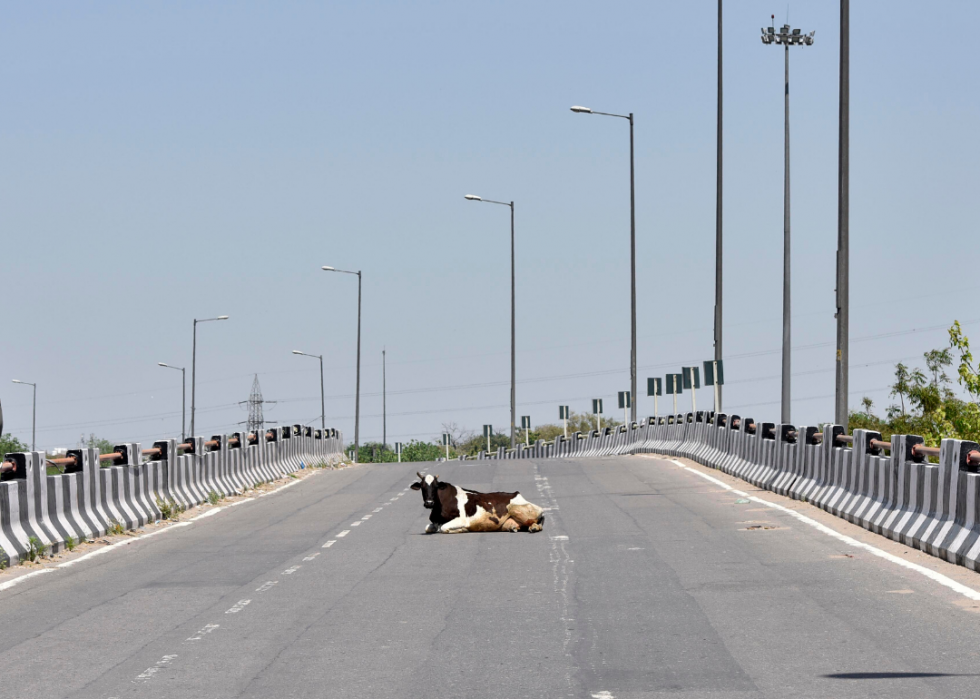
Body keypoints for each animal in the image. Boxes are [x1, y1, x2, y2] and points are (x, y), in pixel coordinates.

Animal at [408, 476, 544, 536]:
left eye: (436, 487)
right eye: (422, 487)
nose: (429, 503)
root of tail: (517, 494)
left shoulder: (462, 520)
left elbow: (443, 528)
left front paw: (462, 530)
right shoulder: (434, 521)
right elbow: (428, 528)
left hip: (518, 509)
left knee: (538, 522)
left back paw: (534, 528)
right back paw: (513, 528)